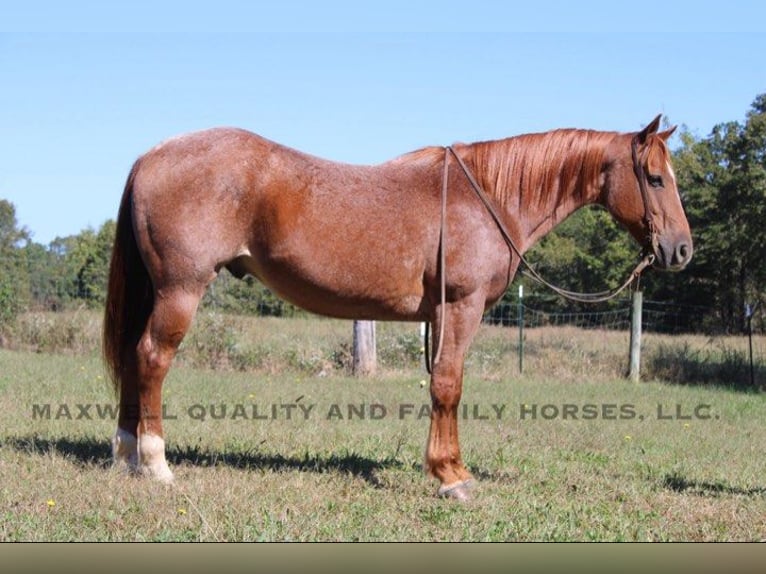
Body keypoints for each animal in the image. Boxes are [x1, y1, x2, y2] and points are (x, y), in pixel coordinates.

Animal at [103, 114, 692, 500]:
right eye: (655, 178)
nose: (681, 250)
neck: (488, 200)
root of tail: (153, 155)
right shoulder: (460, 308)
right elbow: (449, 387)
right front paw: (452, 476)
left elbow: (442, 386)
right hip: (181, 290)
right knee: (152, 358)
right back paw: (155, 464)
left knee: (133, 357)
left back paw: (126, 455)